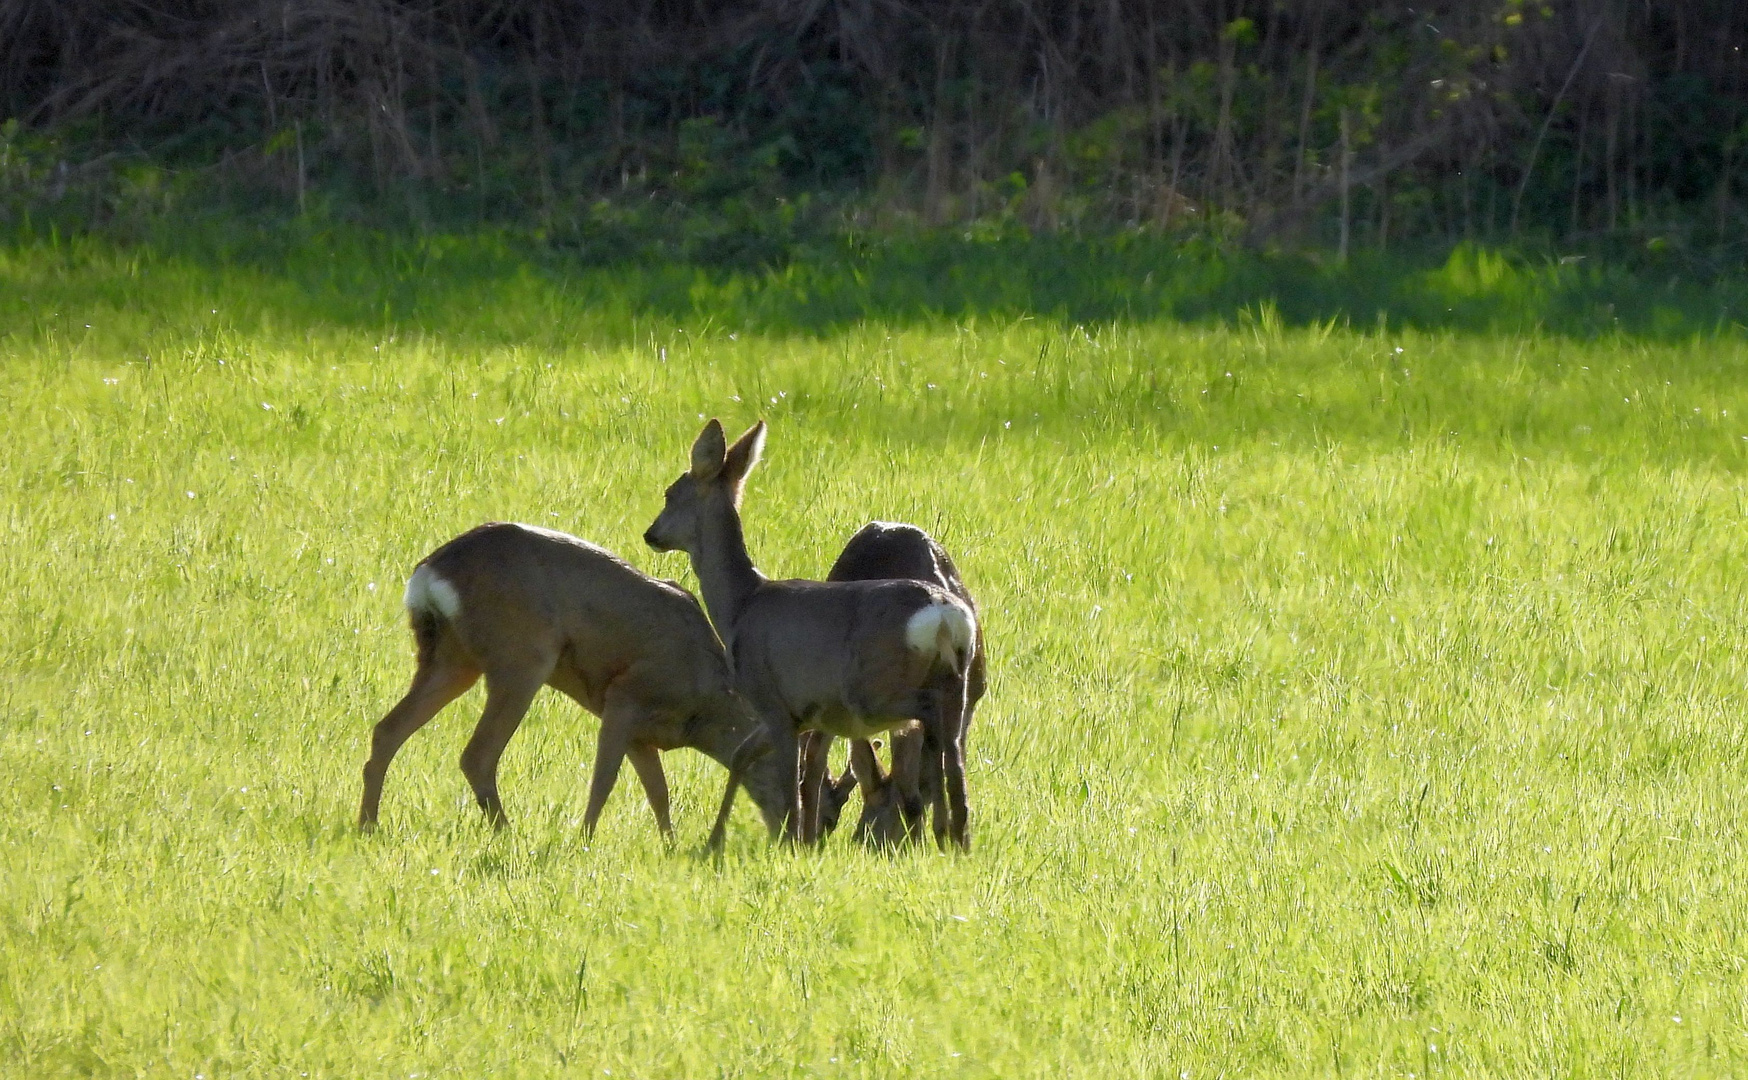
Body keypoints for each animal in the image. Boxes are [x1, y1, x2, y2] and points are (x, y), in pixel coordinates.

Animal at [358, 520, 790, 831]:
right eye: (799, 783)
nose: (796, 836)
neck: (703, 706)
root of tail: (430, 573)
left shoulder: (641, 734)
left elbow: (658, 792)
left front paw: (669, 845)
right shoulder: (624, 696)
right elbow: (605, 780)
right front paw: (584, 839)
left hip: (450, 658)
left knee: (387, 729)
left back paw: (369, 825)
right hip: (522, 658)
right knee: (477, 754)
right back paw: (507, 834)